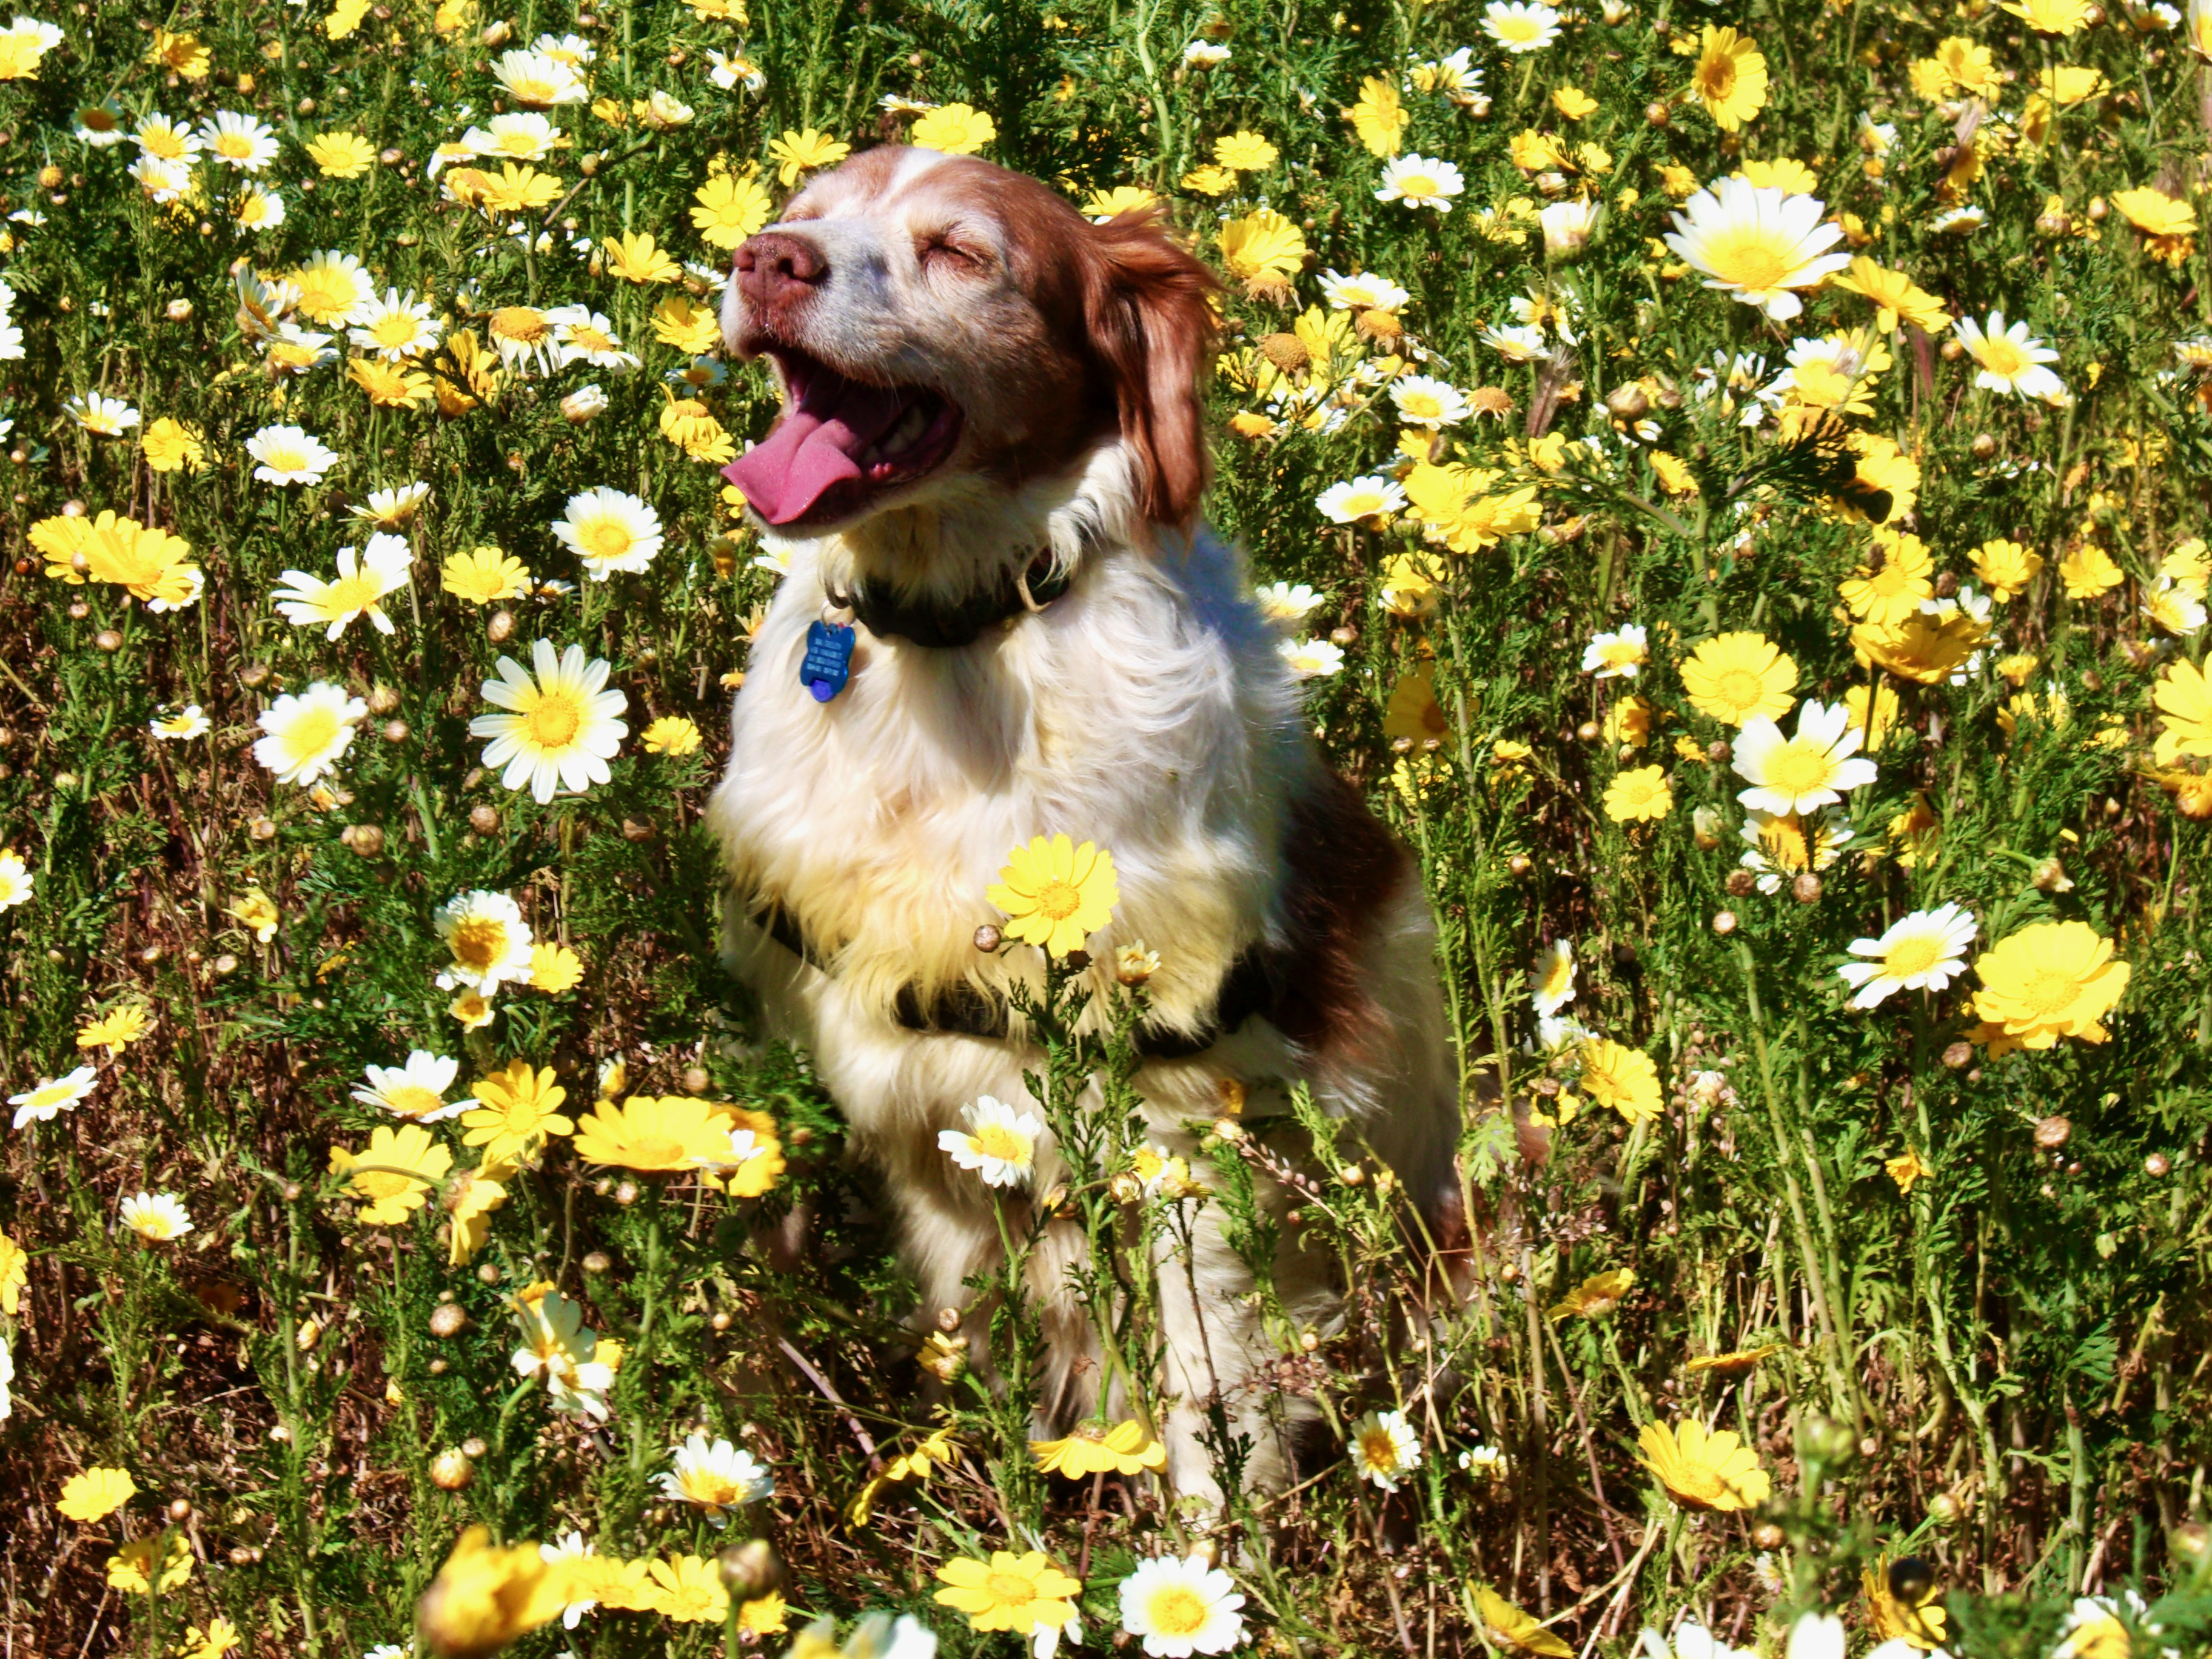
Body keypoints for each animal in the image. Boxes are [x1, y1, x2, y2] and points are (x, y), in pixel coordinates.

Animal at [712, 149, 1469, 1504]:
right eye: (804, 210)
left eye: (960, 251)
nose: (766, 259)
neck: (960, 638)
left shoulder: (1182, 1134)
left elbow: (1210, 1410)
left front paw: (1209, 1560)